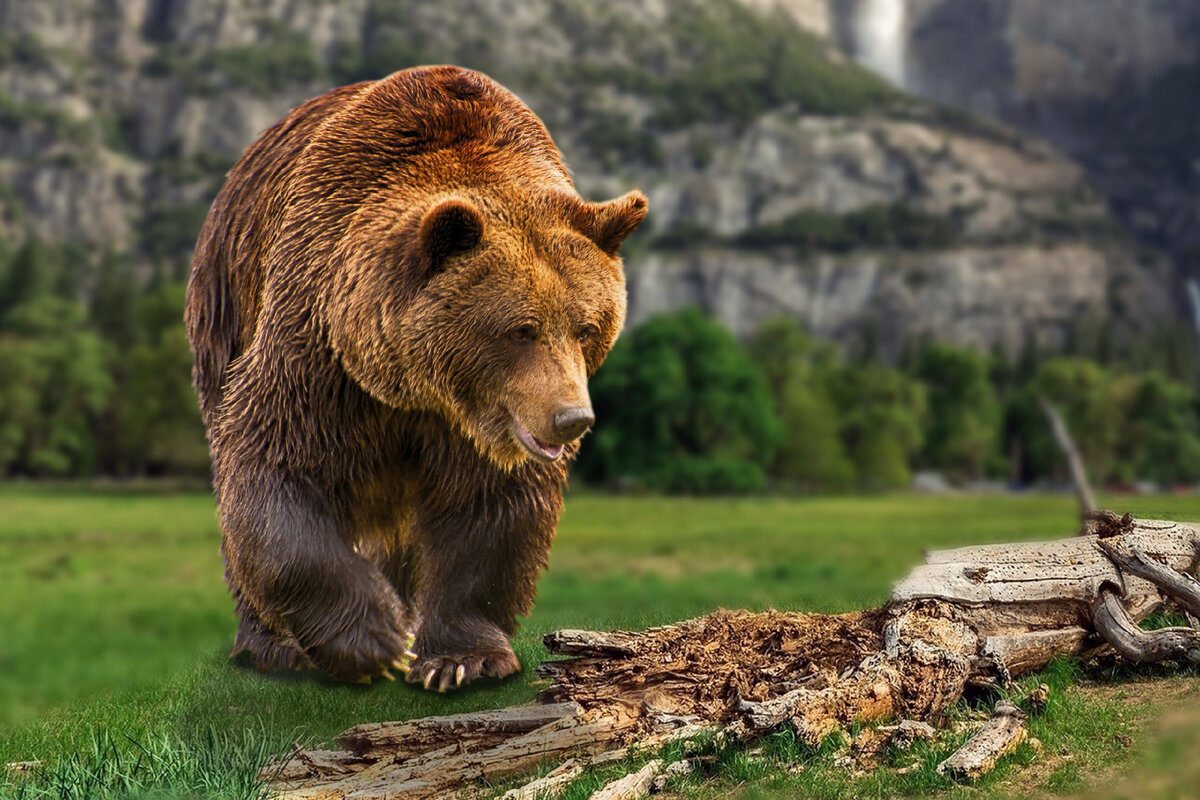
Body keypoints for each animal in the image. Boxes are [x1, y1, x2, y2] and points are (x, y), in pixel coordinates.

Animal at [183, 65, 648, 690]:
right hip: (225, 302)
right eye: (521, 329)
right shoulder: (317, 353)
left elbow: (491, 507)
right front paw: (373, 641)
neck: (413, 388)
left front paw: (461, 659)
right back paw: (271, 646)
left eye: (586, 327)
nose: (571, 419)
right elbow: (275, 471)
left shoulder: (482, 425)